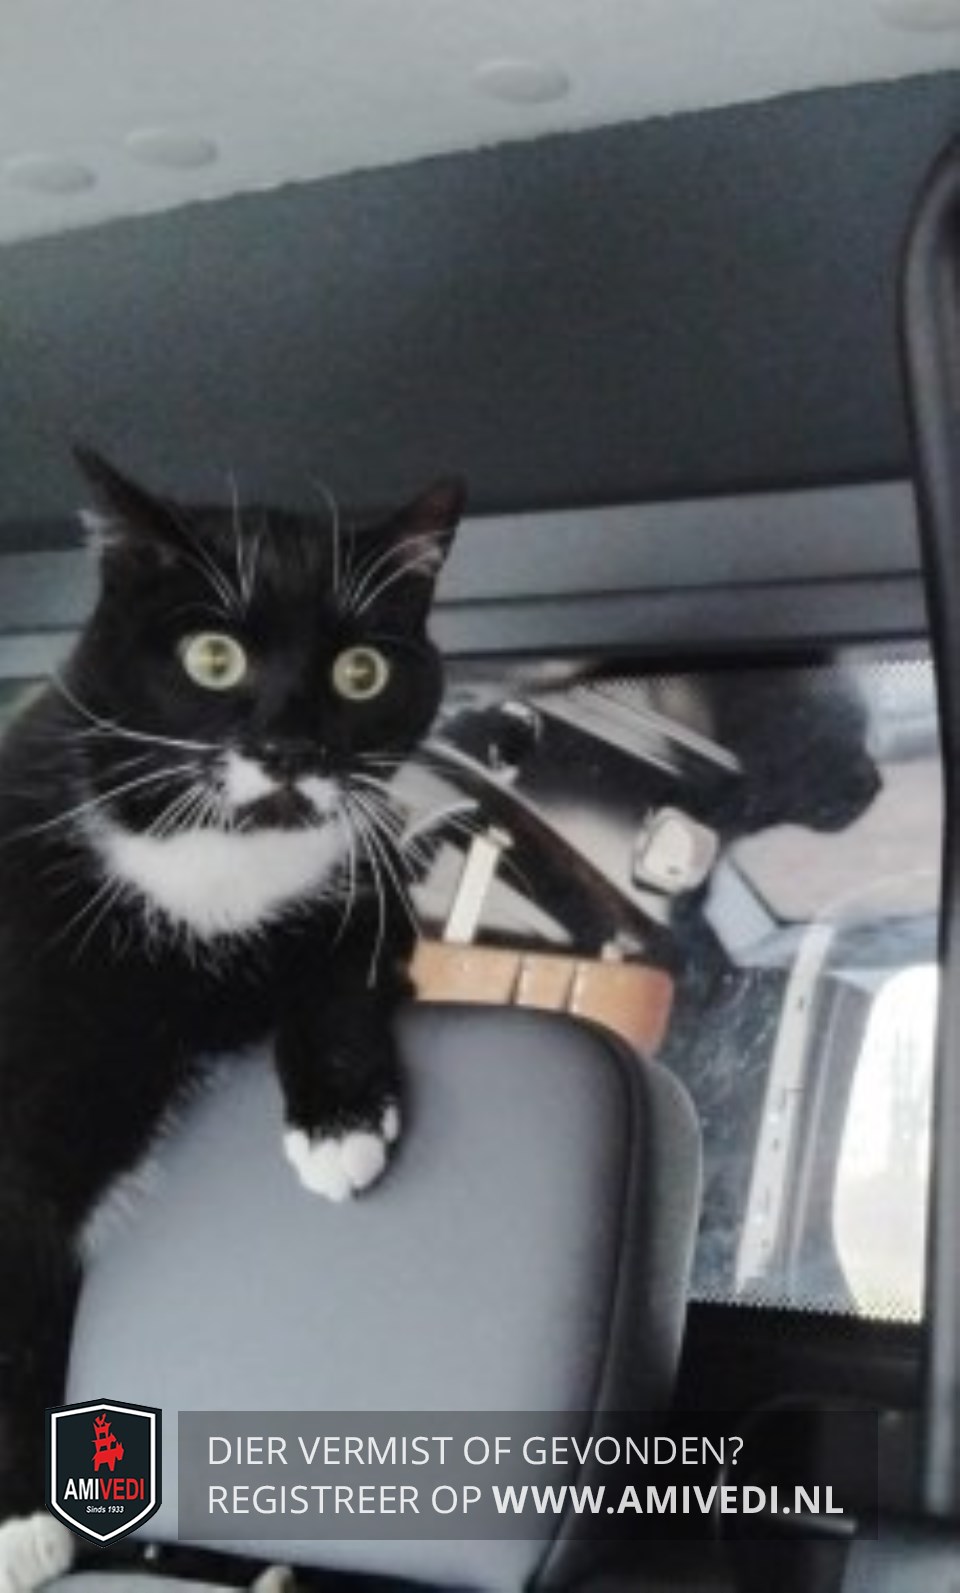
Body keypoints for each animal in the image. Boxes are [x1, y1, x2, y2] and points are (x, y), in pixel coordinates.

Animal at [0, 449, 464, 1592]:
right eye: (213, 657)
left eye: (361, 673)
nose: (290, 747)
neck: (212, 864)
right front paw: (21, 1518)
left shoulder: (369, 892)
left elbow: (341, 970)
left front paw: (341, 1125)